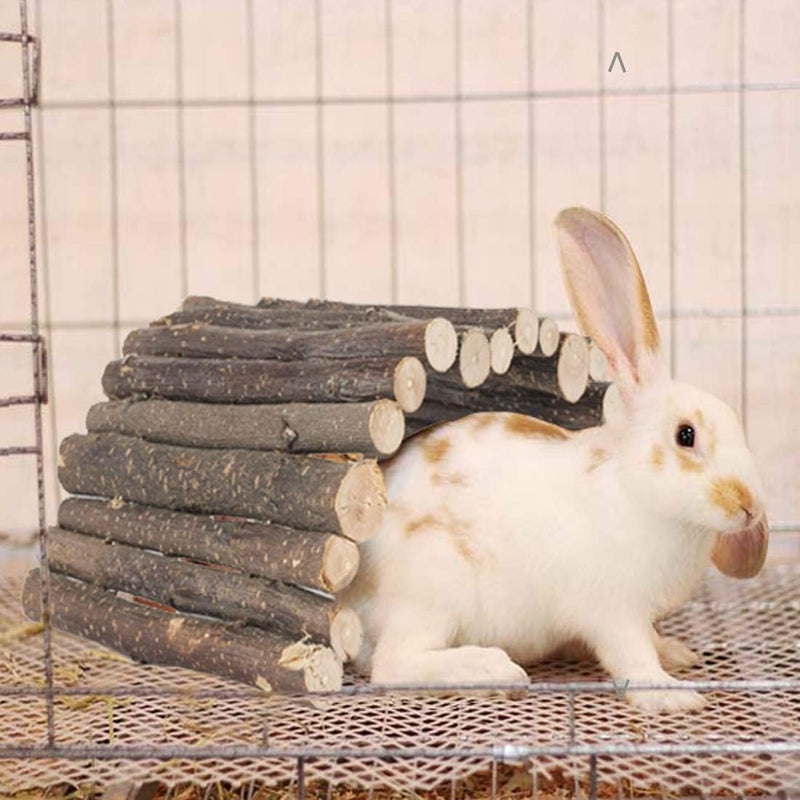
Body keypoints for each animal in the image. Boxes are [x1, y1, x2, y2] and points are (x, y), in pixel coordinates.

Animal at [339, 207, 769, 713]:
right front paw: (672, 696)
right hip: (432, 593)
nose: (748, 506)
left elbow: (649, 640)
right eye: (686, 435)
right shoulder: (612, 609)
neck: (636, 492)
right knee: (393, 664)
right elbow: (632, 656)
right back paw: (493, 669)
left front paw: (676, 654)